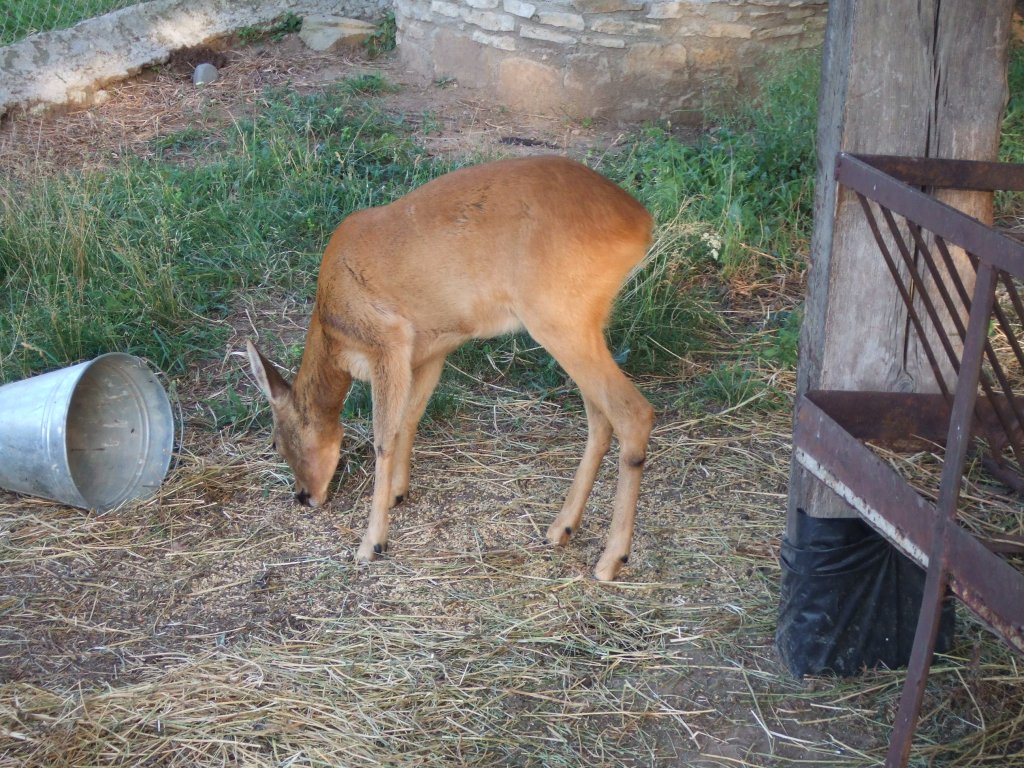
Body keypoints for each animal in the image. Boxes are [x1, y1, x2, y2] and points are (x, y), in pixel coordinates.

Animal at [249, 153, 655, 581]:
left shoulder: (388, 341)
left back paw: (610, 560)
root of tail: (640, 222)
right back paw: (560, 529)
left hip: (559, 318)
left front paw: (370, 544)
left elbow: (383, 437)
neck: (333, 327)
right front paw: (397, 493)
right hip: (585, 325)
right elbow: (411, 417)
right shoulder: (432, 349)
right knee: (600, 417)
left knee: (633, 413)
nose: (303, 496)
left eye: (275, 442)